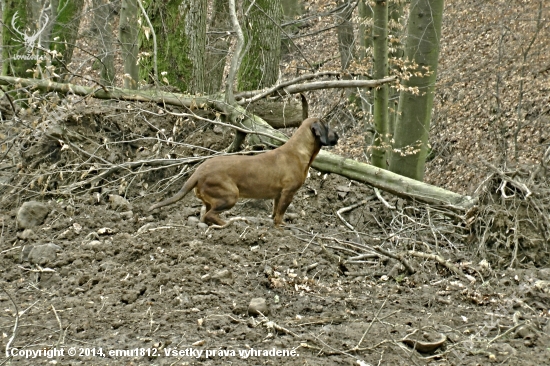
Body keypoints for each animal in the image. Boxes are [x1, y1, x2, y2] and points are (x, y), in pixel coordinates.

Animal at [151, 118, 340, 226]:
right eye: (328, 126)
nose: (338, 135)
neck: (299, 150)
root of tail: (198, 172)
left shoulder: (278, 195)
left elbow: (274, 211)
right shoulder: (288, 192)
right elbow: (280, 215)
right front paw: (282, 228)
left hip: (211, 199)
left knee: (205, 216)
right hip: (231, 195)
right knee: (211, 215)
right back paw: (228, 223)